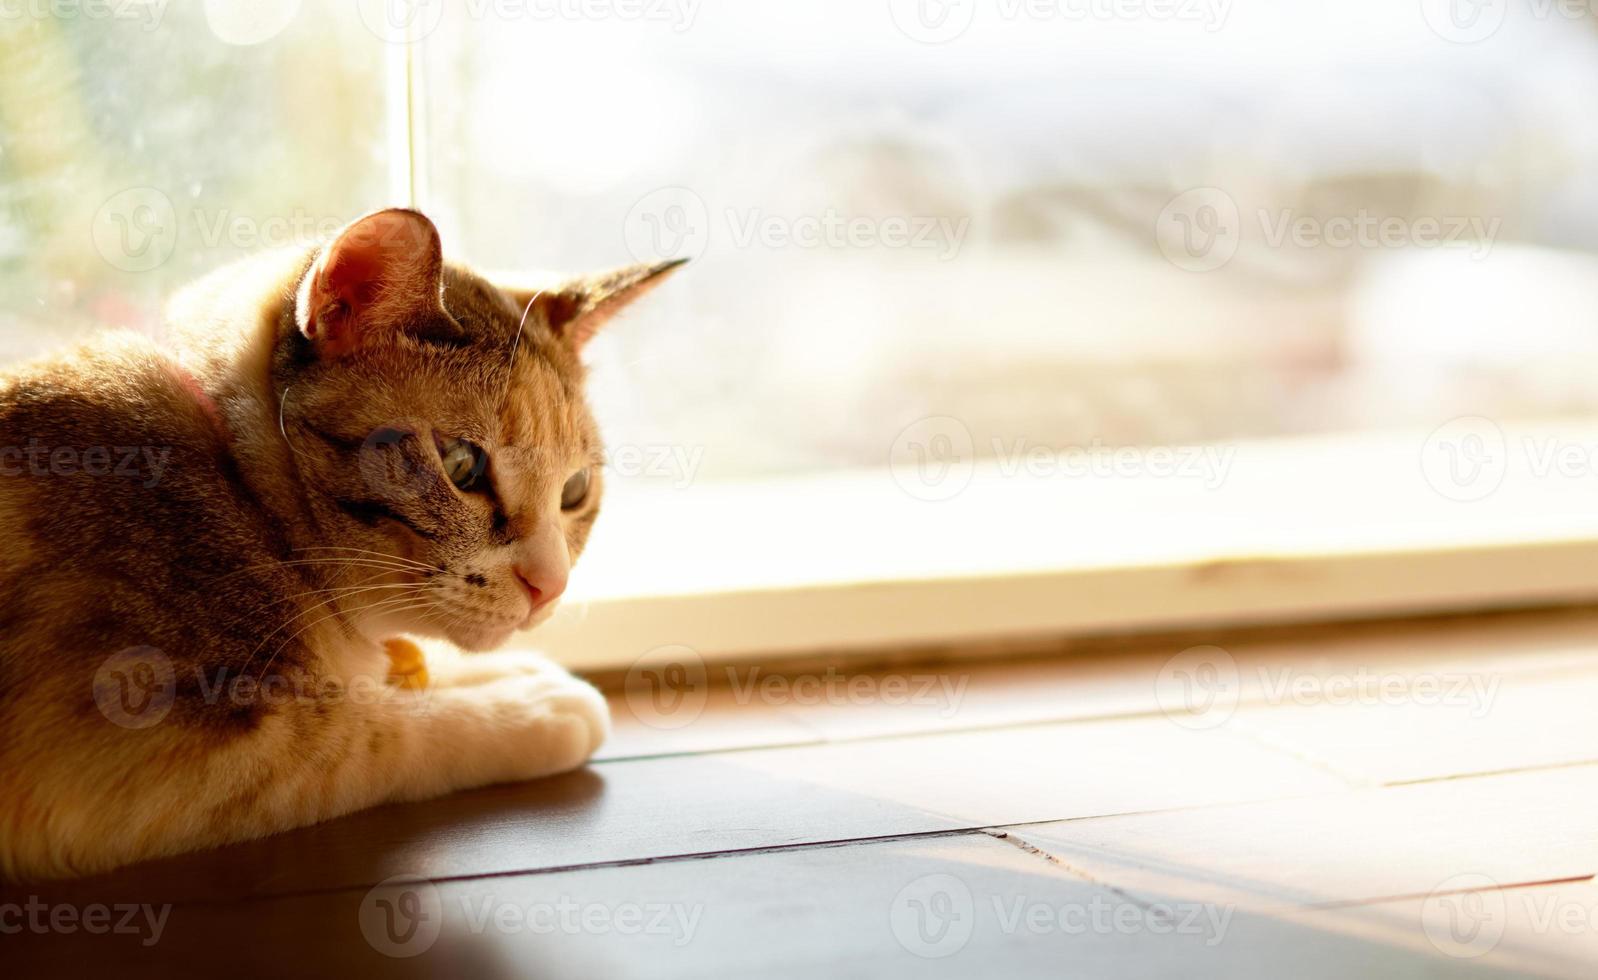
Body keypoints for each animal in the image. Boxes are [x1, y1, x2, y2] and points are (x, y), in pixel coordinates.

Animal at [0, 206, 680, 876]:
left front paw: (512, 672)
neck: (246, 497)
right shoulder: (162, 747)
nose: (551, 586)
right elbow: (382, 732)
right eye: (461, 466)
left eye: (574, 491)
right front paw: (536, 706)